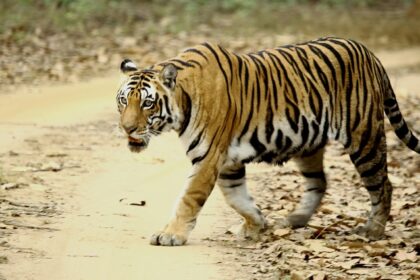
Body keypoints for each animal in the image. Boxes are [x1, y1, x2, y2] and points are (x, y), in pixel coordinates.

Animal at [115, 36, 420, 245]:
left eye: (147, 104)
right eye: (123, 101)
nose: (127, 128)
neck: (183, 102)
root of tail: (369, 53)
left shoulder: (208, 157)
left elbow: (189, 198)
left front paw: (170, 235)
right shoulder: (228, 162)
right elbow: (237, 197)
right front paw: (257, 224)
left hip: (364, 137)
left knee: (383, 185)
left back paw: (373, 230)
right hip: (309, 143)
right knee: (319, 182)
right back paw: (296, 219)